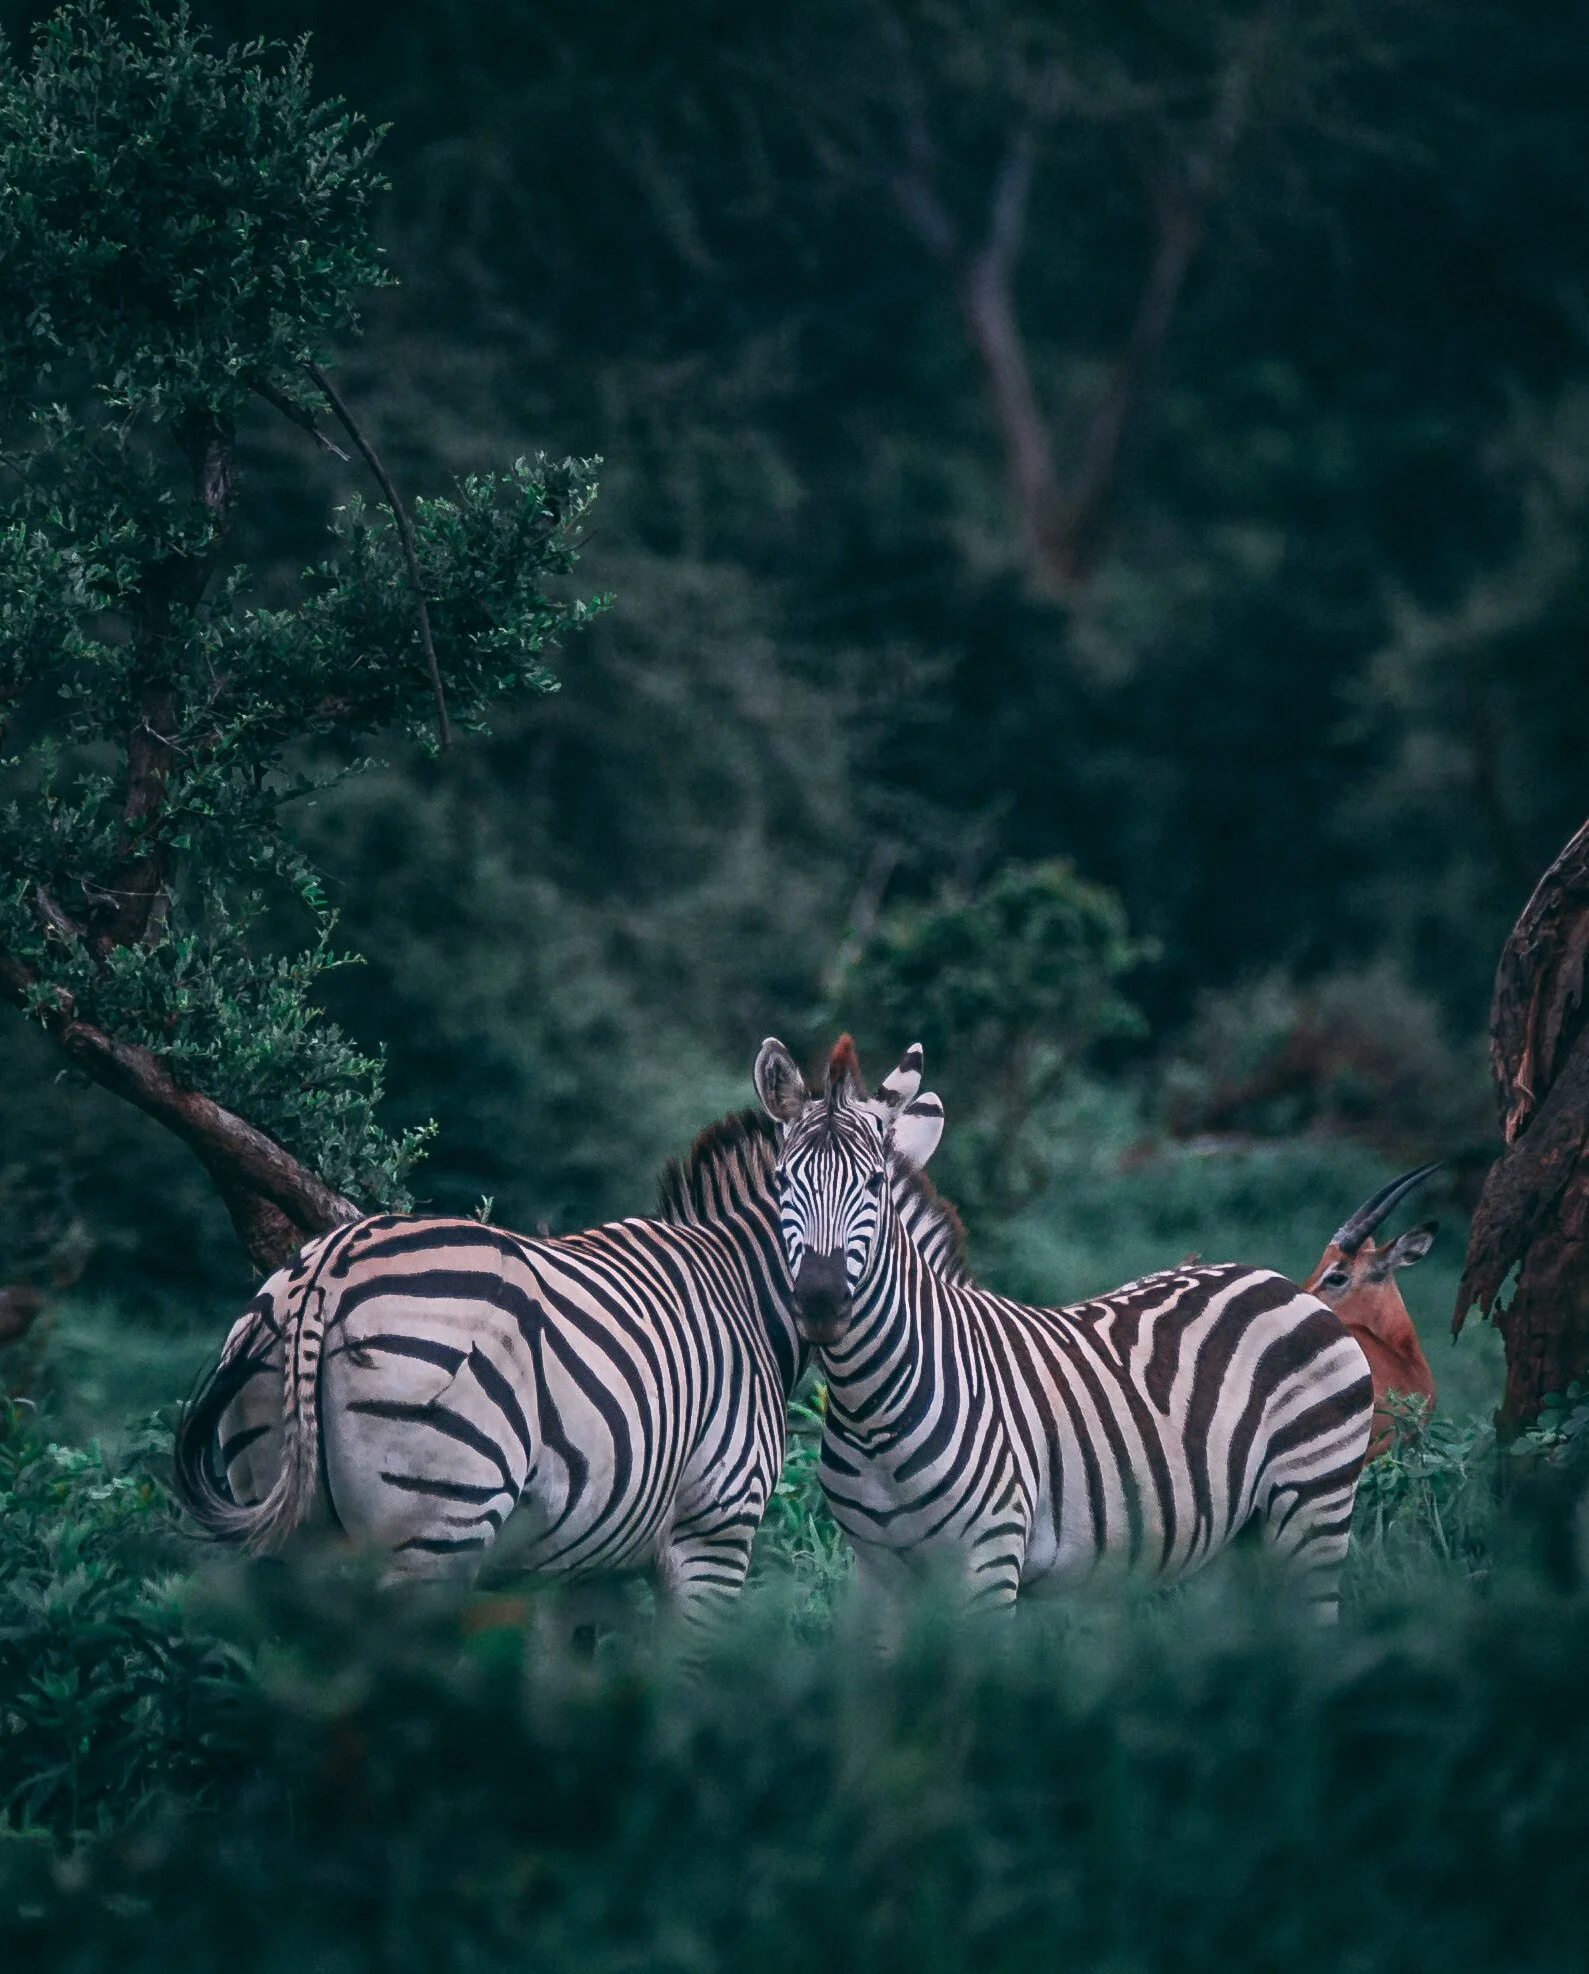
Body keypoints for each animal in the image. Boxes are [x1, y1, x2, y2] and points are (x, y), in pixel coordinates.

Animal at [173, 1076, 958, 1617]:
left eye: (873, 1187)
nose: (821, 1302)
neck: (742, 1290)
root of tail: (327, 1267)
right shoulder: (714, 1533)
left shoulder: (586, 1561)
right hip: (436, 1525)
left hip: (283, 1510)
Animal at [754, 1034, 1376, 1621]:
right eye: (781, 1181)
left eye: (875, 1184)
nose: (821, 1303)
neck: (872, 1410)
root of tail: (1281, 1282)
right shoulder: (877, 1572)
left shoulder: (990, 1559)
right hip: (1234, 1541)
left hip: (1314, 1508)